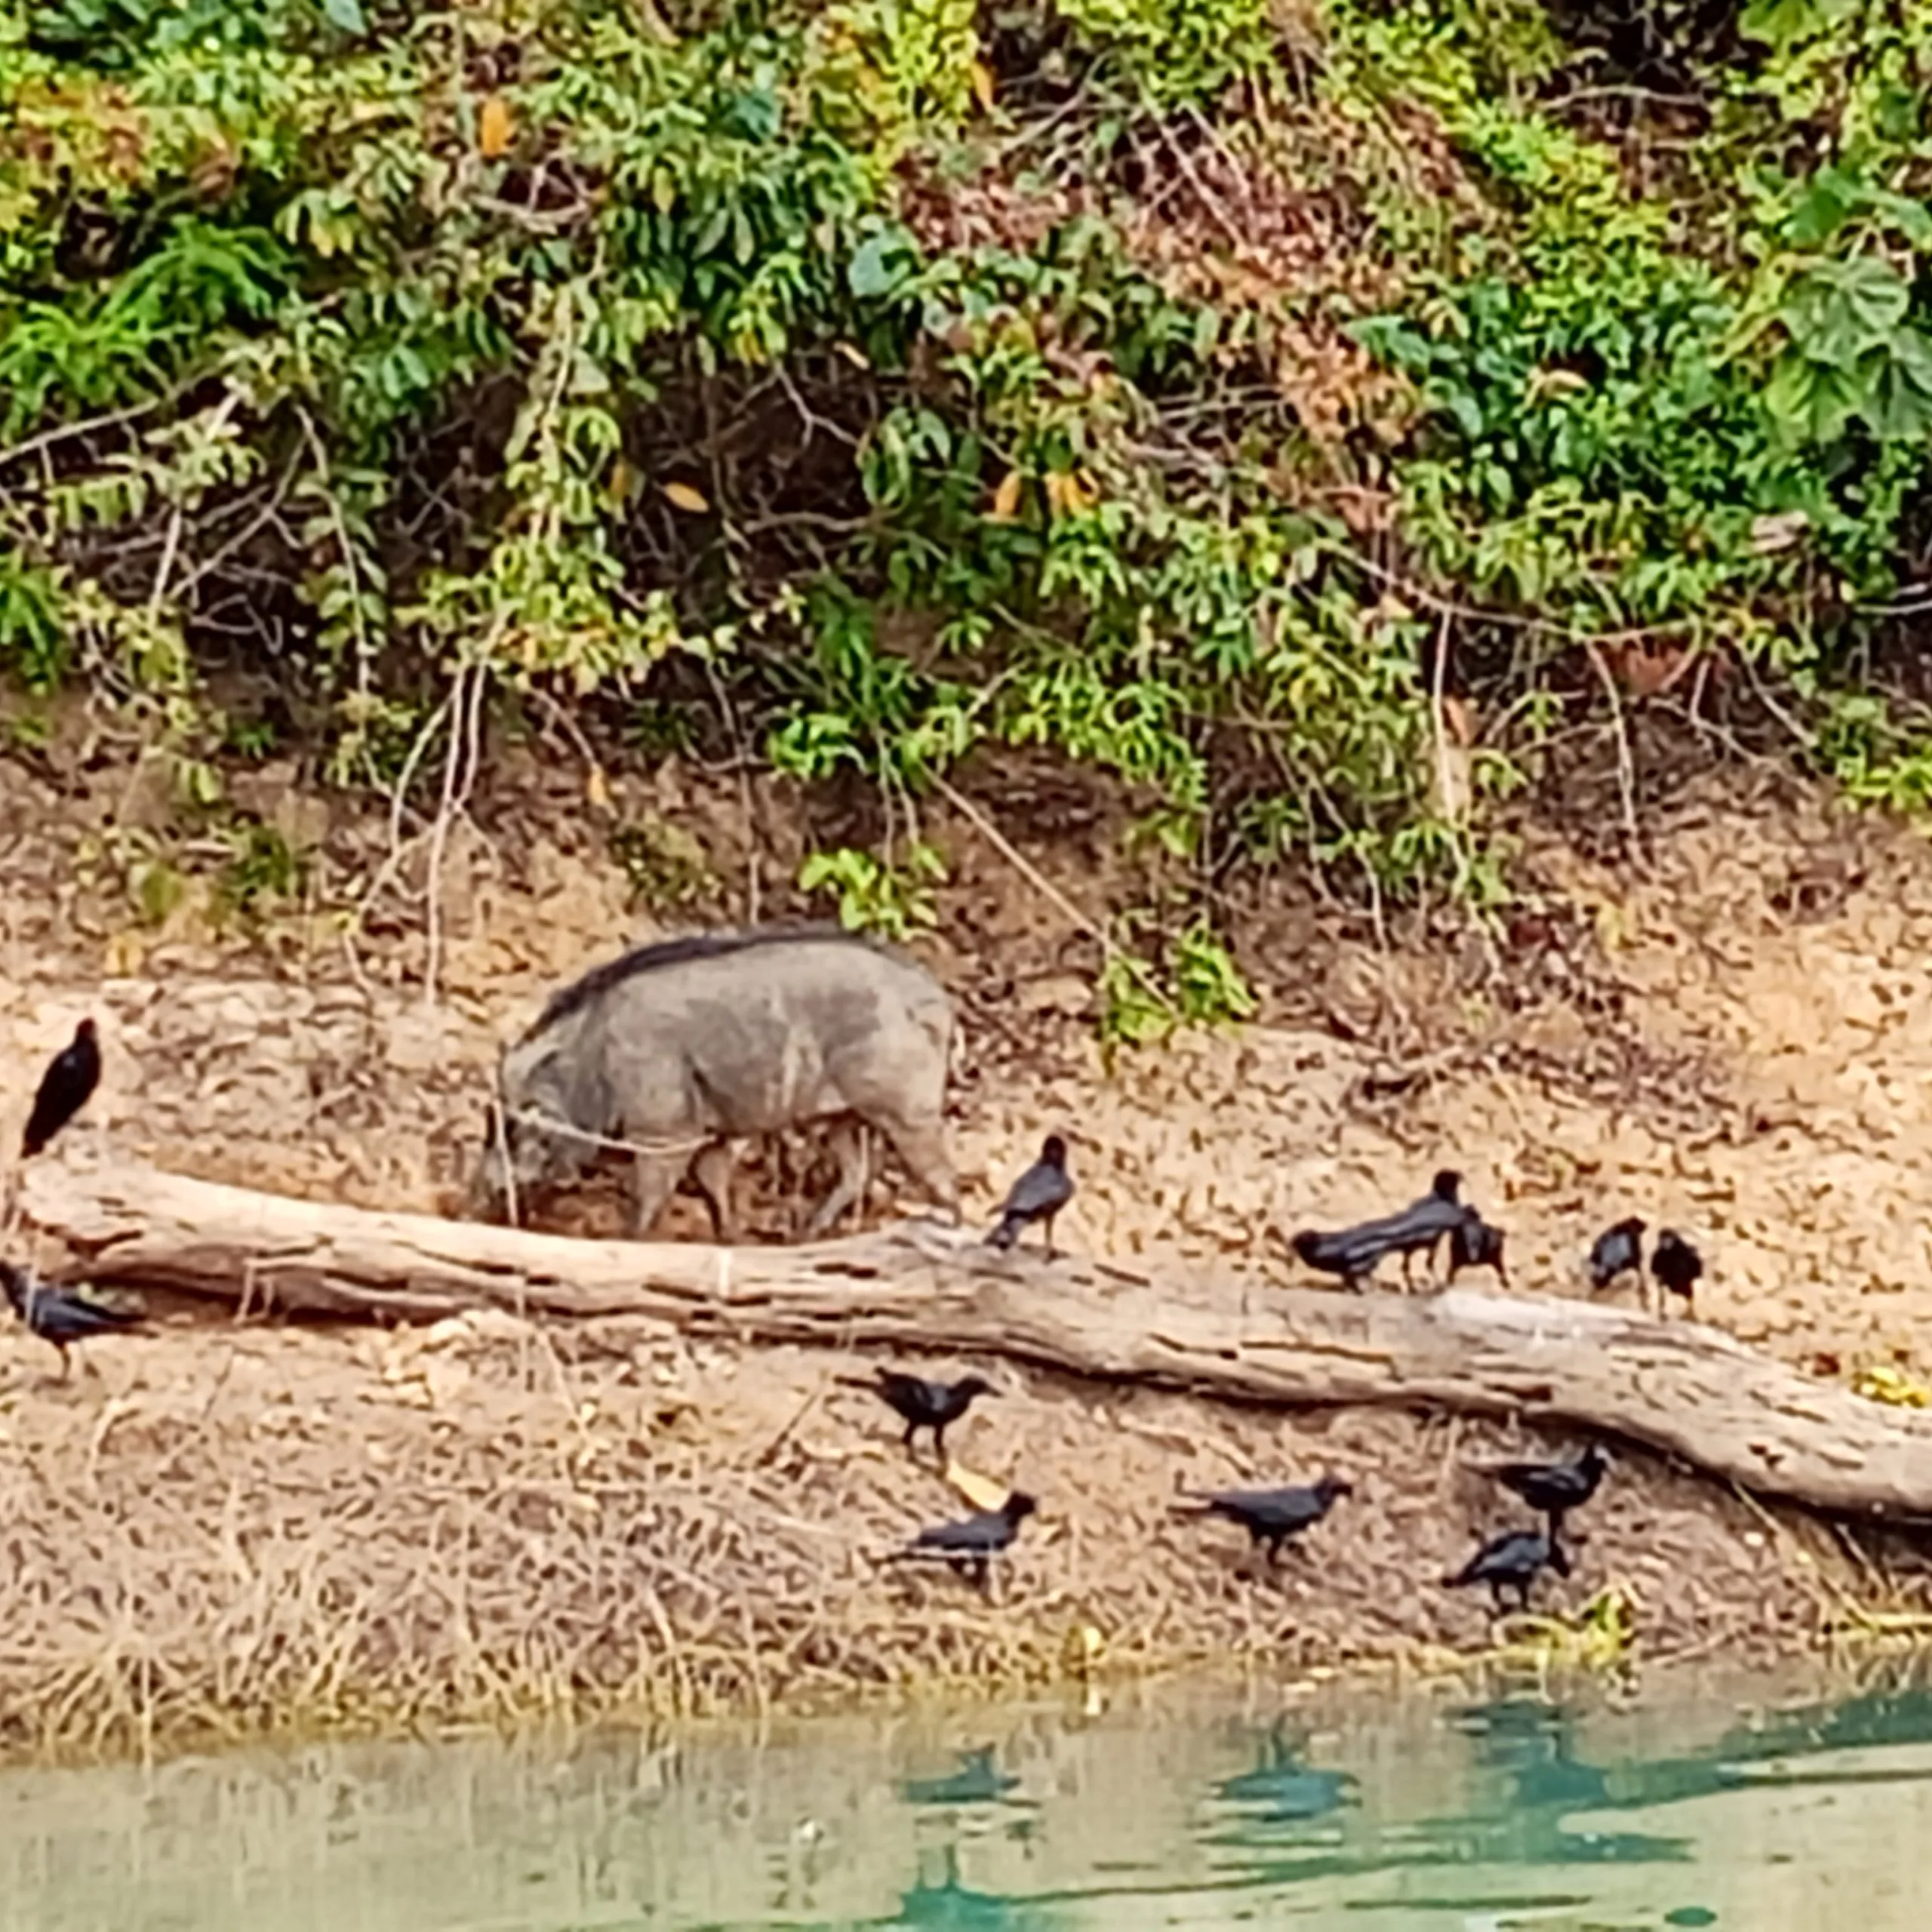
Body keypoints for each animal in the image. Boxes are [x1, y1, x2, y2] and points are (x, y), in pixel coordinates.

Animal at [469, 925, 960, 1242]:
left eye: (516, 1124)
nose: (473, 1203)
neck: (592, 1054)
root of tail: (937, 999)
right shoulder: (711, 1134)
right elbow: (713, 1185)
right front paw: (732, 1240)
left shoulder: (664, 1131)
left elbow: (647, 1198)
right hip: (843, 1117)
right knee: (857, 1171)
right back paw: (806, 1236)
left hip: (908, 1112)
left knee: (943, 1180)